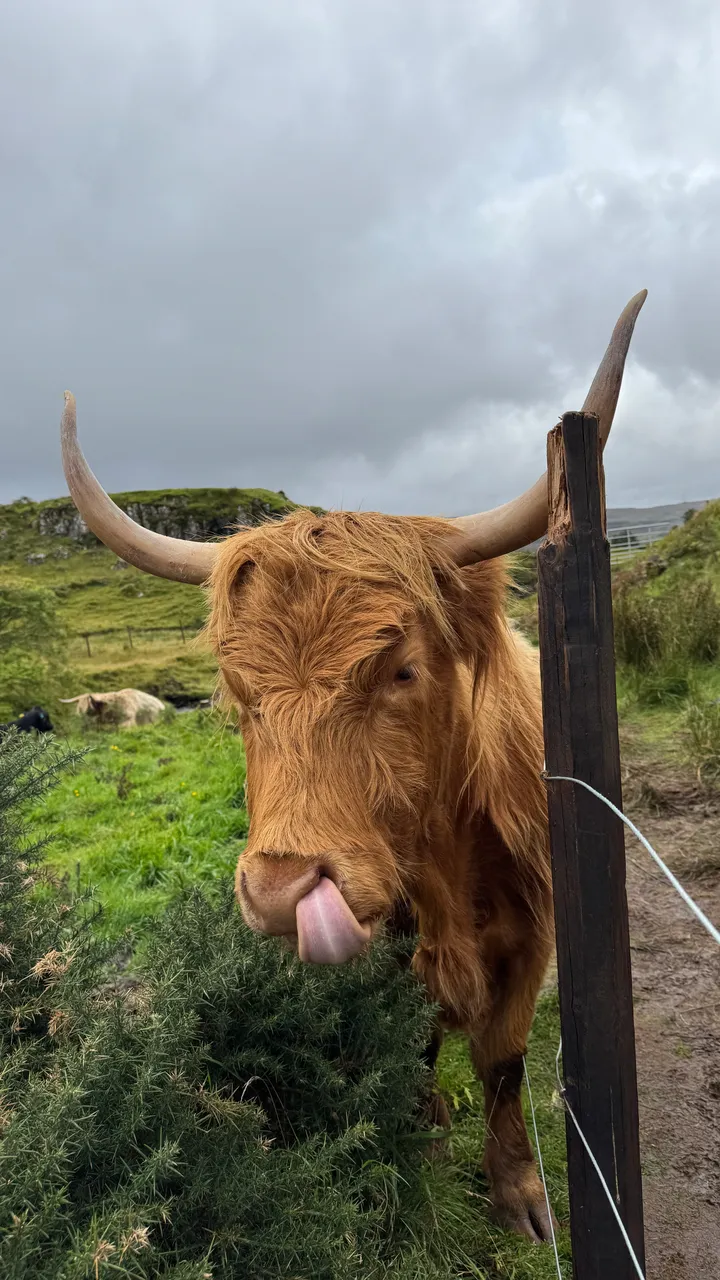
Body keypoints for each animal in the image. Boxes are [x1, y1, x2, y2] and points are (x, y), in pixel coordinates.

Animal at [57, 290, 646, 1242]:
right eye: (237, 692)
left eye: (401, 669)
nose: (280, 891)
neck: (447, 867)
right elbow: (421, 1050)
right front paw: (430, 1141)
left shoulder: (536, 934)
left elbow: (506, 1061)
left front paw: (520, 1195)